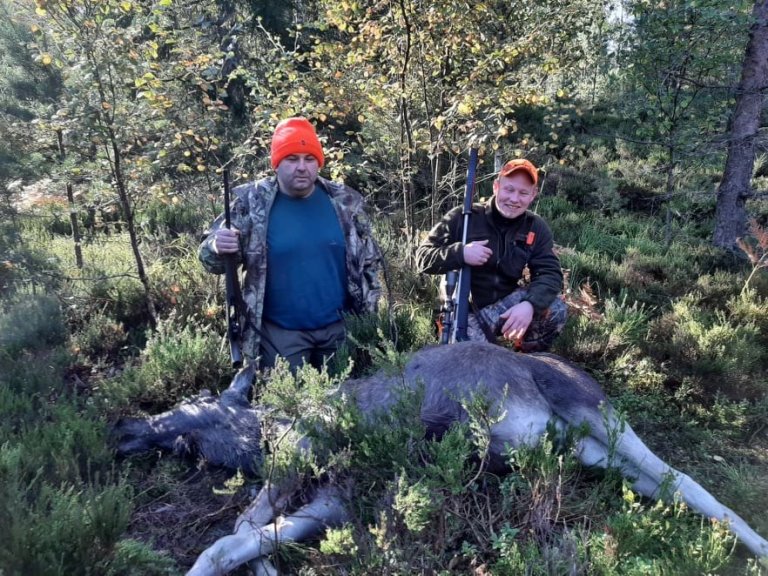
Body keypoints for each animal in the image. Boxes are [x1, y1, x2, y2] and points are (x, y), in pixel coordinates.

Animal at [115, 340, 768, 572]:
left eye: (190, 410)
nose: (123, 427)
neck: (269, 432)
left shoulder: (316, 461)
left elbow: (233, 531)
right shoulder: (335, 502)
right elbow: (236, 542)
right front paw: (259, 564)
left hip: (597, 414)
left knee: (691, 481)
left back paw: (757, 546)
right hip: (591, 452)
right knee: (669, 488)